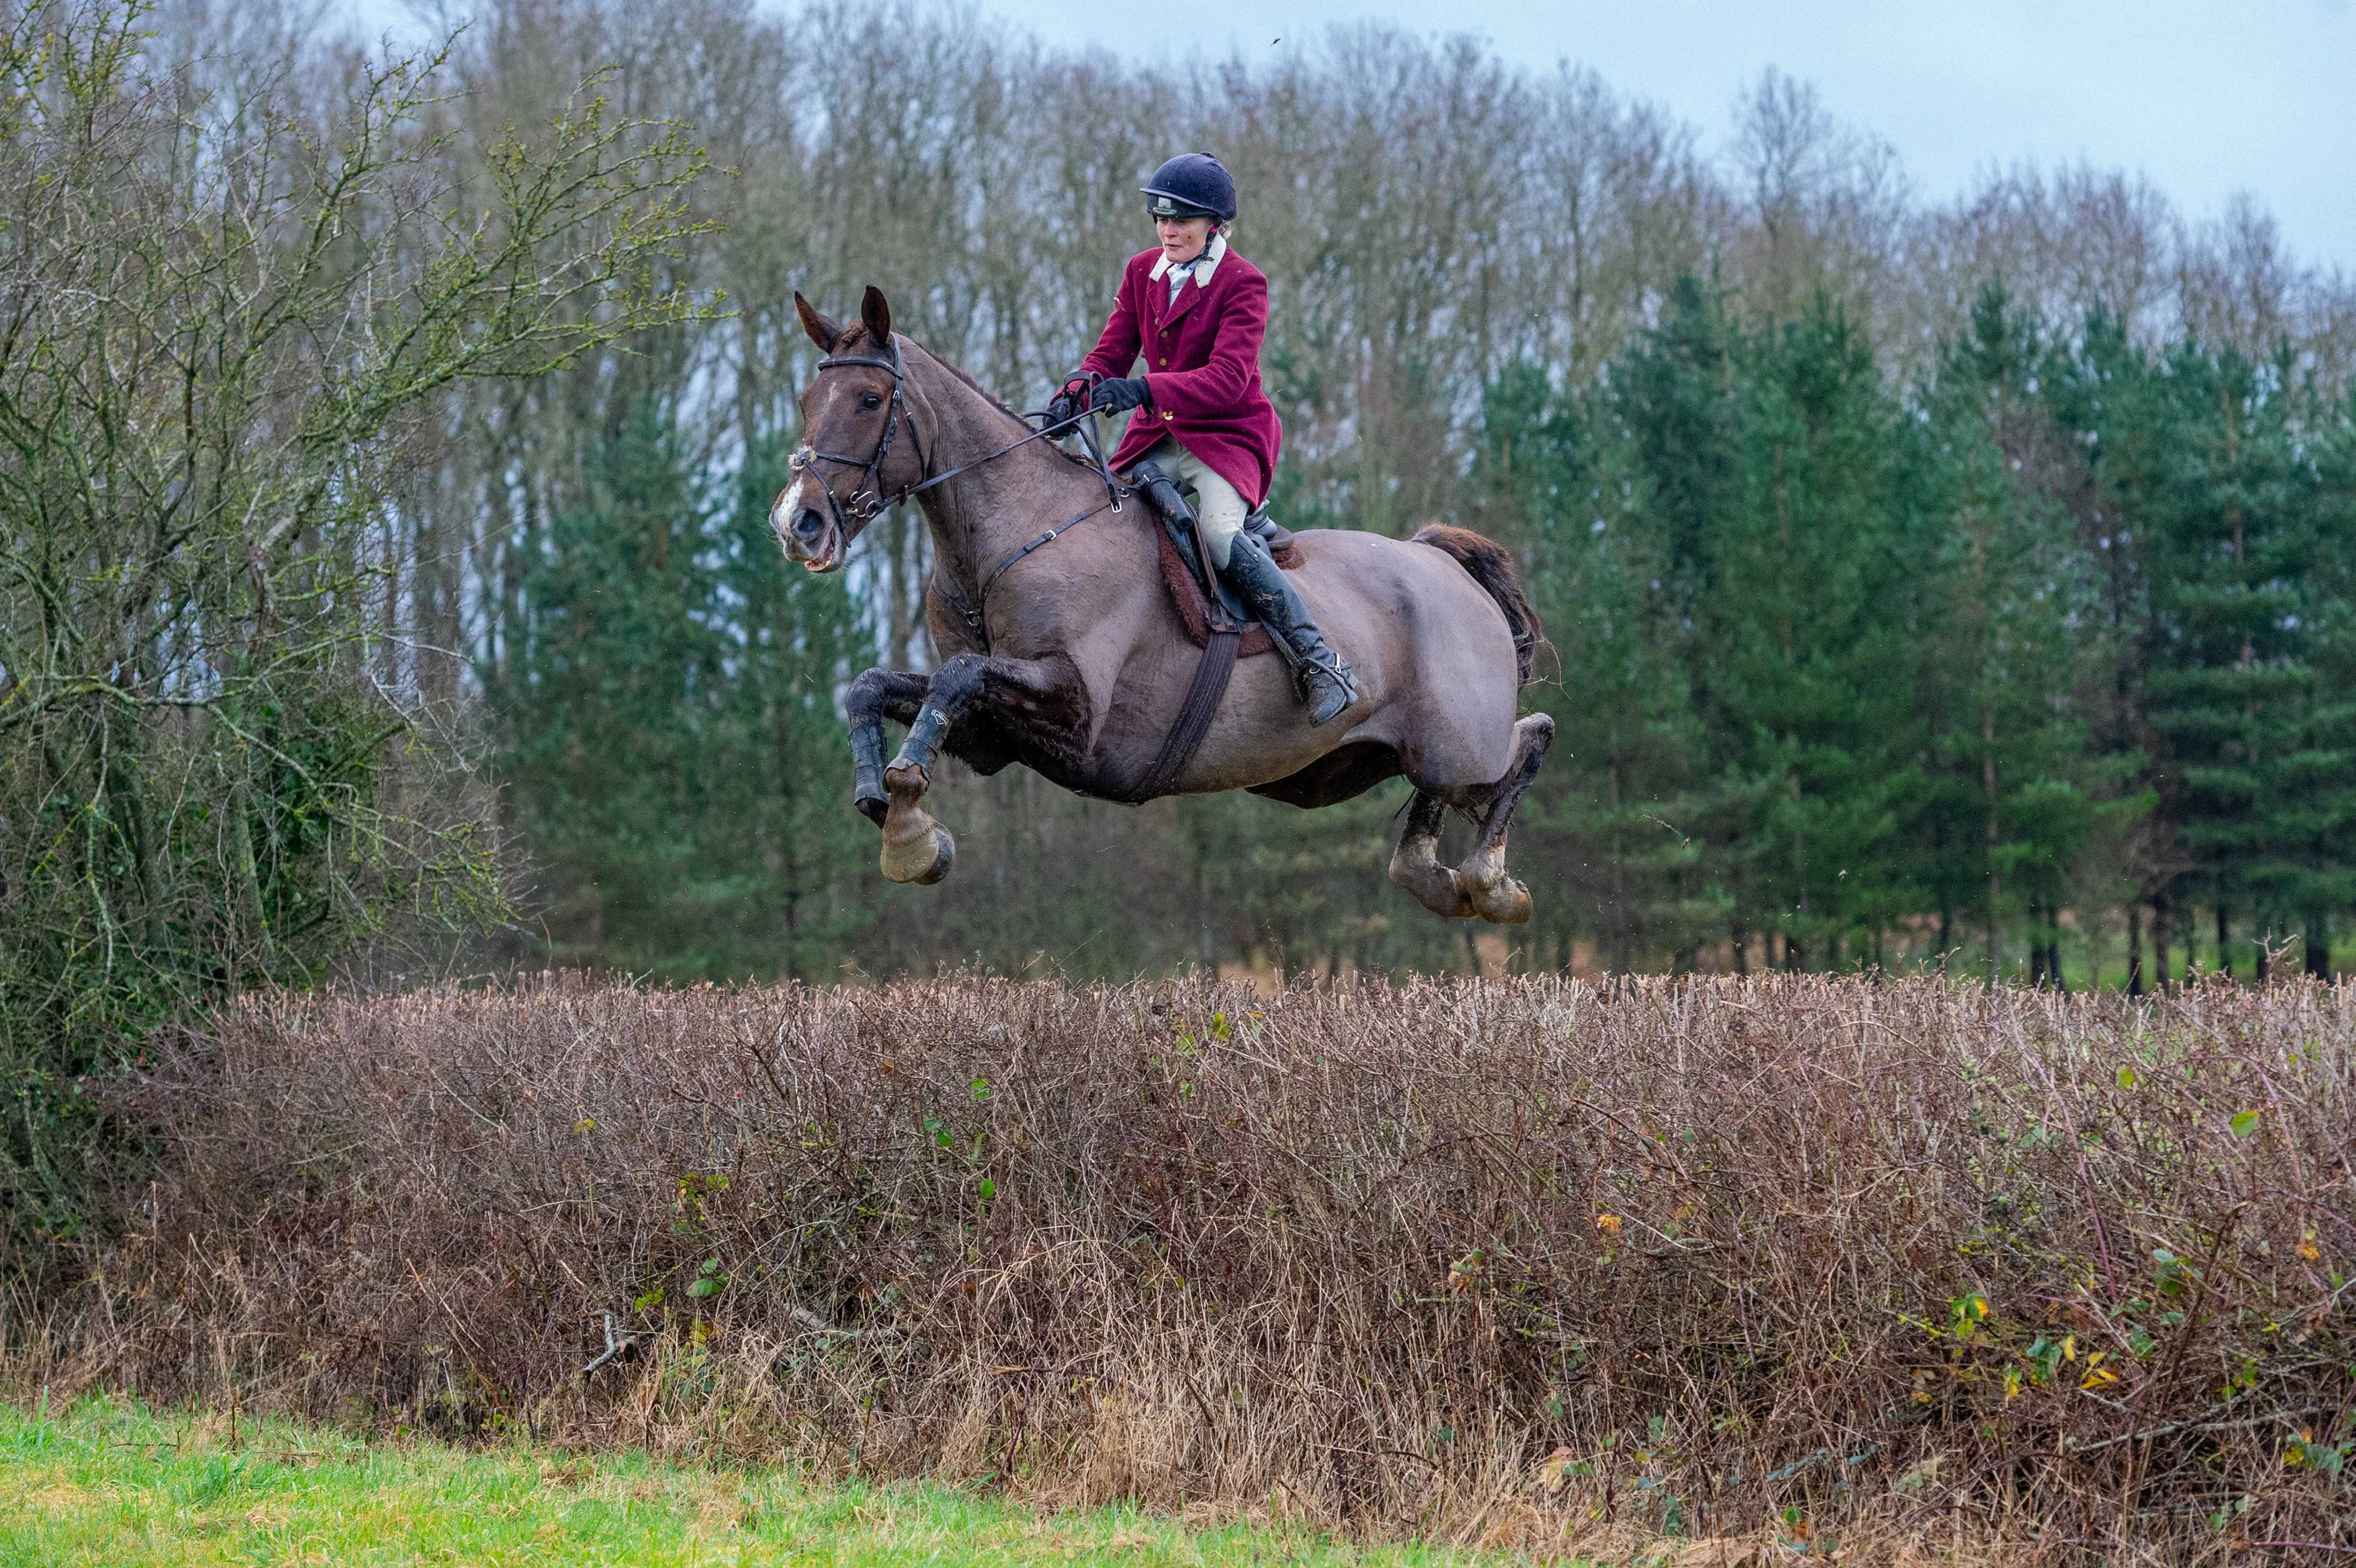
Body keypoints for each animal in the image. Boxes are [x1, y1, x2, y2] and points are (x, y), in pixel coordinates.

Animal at [763, 287, 1555, 923]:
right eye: (805, 403)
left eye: (870, 401)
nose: (798, 522)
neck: (1017, 535)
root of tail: (1438, 560)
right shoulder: (992, 736)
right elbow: (878, 689)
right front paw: (895, 815)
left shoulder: (1076, 711)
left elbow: (957, 676)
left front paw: (905, 815)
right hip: (1338, 770)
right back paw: (1439, 877)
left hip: (1455, 744)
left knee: (1529, 738)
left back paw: (1490, 884)